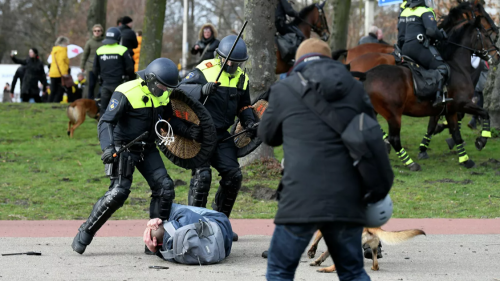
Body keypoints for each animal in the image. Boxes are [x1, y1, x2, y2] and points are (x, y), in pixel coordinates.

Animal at [352, 1, 500, 171]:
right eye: (485, 32)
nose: (497, 55)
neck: (457, 66)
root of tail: (367, 74)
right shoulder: (462, 104)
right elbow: (484, 113)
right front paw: (481, 141)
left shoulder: (450, 110)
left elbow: (455, 132)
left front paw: (465, 159)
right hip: (393, 115)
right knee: (394, 138)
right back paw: (410, 163)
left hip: (373, 111)